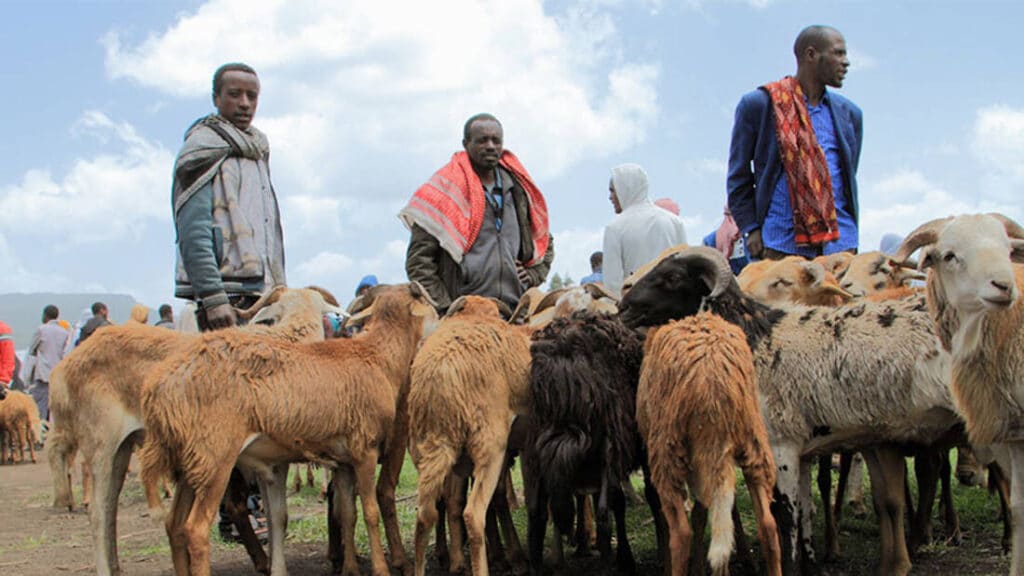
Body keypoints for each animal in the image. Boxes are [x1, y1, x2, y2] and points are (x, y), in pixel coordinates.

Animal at [618, 245, 962, 573]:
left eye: (673, 277)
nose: (623, 307)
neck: (756, 336)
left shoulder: (781, 446)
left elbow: (784, 518)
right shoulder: (802, 451)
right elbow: (804, 514)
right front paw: (811, 565)